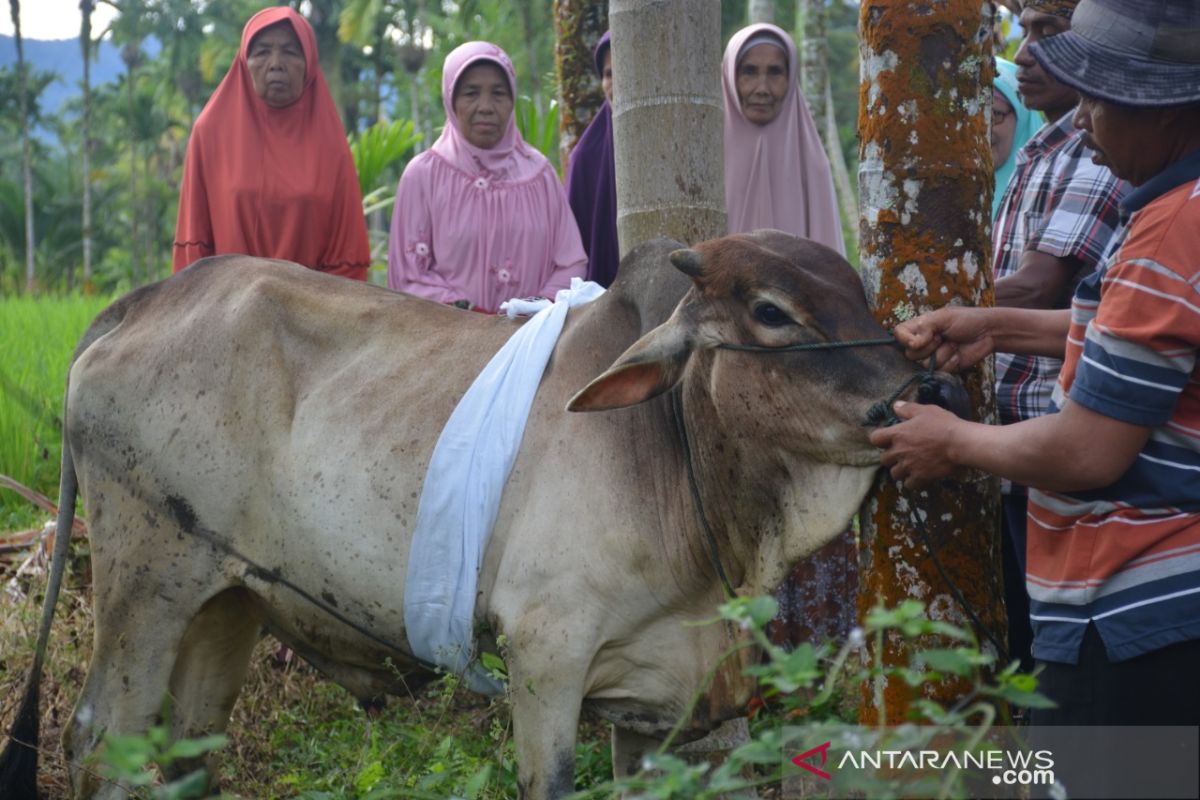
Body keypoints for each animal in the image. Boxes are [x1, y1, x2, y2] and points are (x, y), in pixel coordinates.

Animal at [0, 230, 955, 800]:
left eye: (856, 293)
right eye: (770, 311)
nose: (925, 391)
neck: (674, 449)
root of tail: (141, 301)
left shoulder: (653, 702)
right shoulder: (546, 657)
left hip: (227, 598)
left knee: (191, 750)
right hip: (146, 585)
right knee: (99, 742)